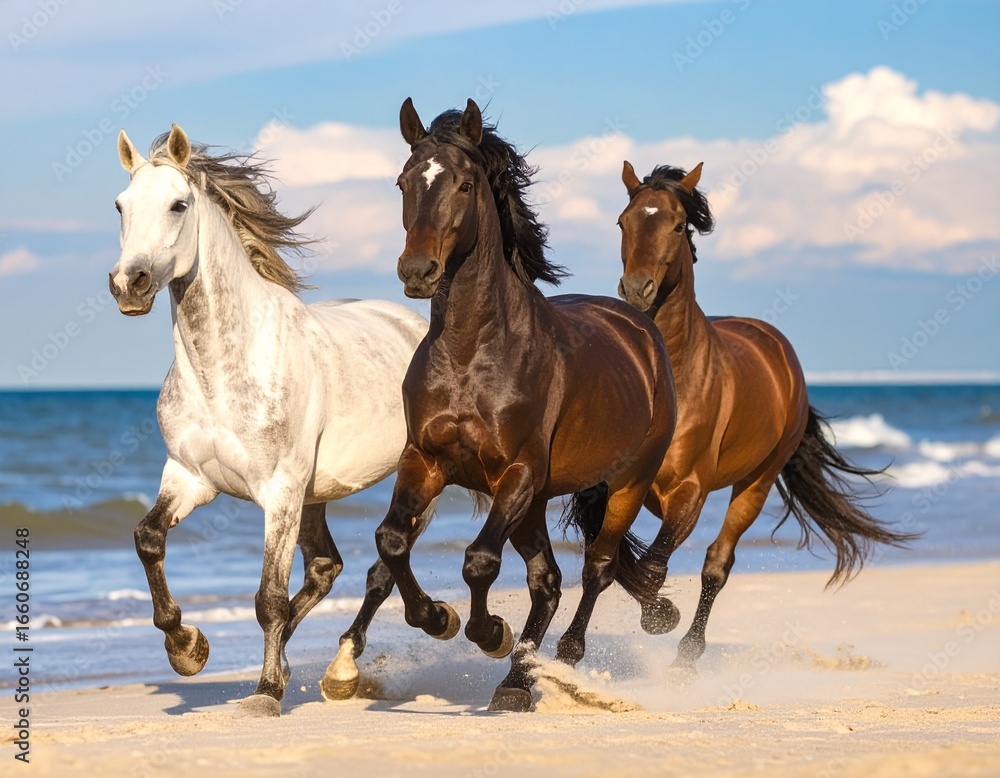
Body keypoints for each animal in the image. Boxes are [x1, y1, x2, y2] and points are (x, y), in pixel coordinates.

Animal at [108, 124, 432, 717]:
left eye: (178, 204)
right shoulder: (189, 478)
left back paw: (347, 668)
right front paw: (188, 648)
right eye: (121, 205)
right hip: (315, 495)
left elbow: (268, 598)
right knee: (328, 568)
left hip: (417, 479)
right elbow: (148, 539)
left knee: (379, 569)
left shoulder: (278, 492)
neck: (219, 374)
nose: (130, 284)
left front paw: (263, 693)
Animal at [363, 98, 677, 712]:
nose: (417, 271)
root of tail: (641, 331)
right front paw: (436, 617)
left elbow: (480, 560)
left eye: (464, 184)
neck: (471, 354)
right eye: (403, 181)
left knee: (596, 568)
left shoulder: (518, 471)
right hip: (534, 504)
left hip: (624, 483)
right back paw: (516, 679)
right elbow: (392, 541)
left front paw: (488, 632)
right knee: (547, 581)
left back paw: (553, 663)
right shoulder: (426, 460)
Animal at [613, 160, 918, 669]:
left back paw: (687, 655)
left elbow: (654, 565)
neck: (675, 375)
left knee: (718, 563)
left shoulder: (690, 493)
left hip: (756, 483)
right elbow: (618, 556)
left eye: (677, 224)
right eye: (623, 222)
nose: (637, 290)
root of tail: (778, 346)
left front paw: (660, 617)